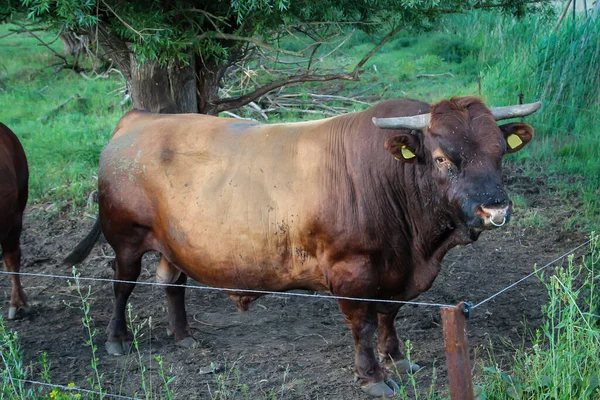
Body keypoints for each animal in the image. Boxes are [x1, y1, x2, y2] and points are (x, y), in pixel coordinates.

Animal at [65, 97, 540, 396]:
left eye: (500, 153)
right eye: (442, 158)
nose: (495, 208)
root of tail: (140, 118)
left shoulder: (398, 271)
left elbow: (389, 315)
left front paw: (398, 359)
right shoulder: (352, 271)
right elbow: (363, 326)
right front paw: (372, 376)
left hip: (174, 243)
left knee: (171, 283)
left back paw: (183, 336)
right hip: (127, 237)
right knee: (122, 285)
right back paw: (117, 340)